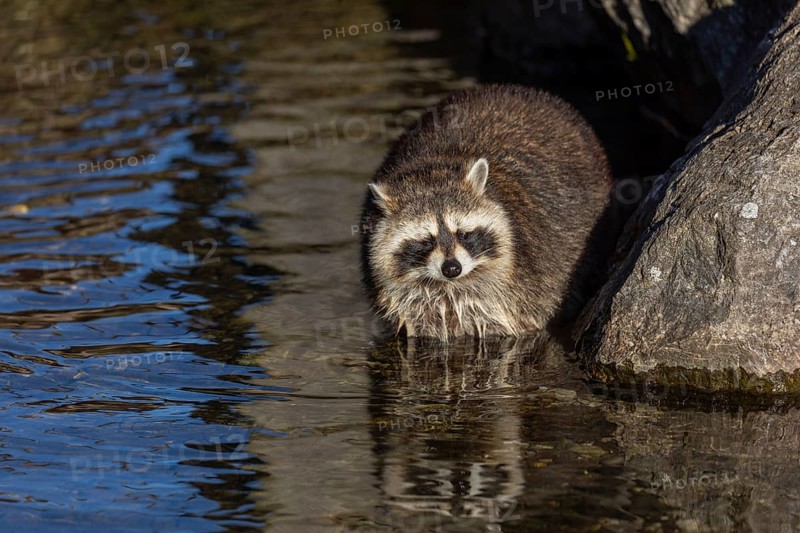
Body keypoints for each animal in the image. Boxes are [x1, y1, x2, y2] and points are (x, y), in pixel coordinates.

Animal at [359, 84, 614, 340]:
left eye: (463, 233)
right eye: (426, 240)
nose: (452, 269)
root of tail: (515, 89)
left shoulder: (522, 290)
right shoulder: (404, 301)